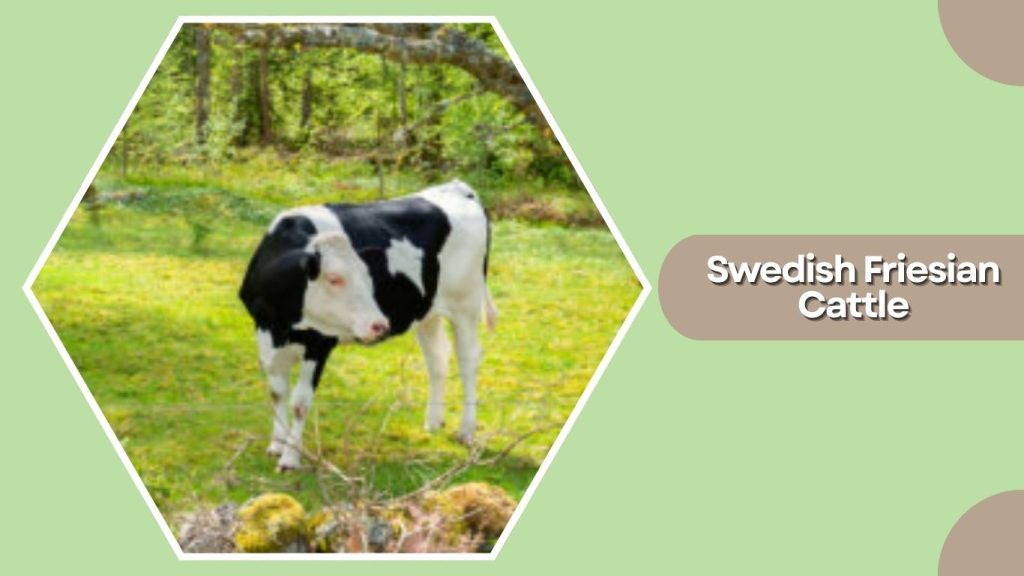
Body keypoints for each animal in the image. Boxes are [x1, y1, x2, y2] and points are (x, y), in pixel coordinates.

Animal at [238, 180, 497, 471]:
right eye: (334, 278)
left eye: (367, 274)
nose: (379, 325)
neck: (283, 323)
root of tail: (457, 187)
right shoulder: (265, 334)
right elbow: (277, 393)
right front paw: (276, 444)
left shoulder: (319, 343)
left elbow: (299, 402)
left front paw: (291, 457)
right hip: (428, 310)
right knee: (437, 358)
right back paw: (433, 421)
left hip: (466, 304)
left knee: (468, 360)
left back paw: (466, 430)